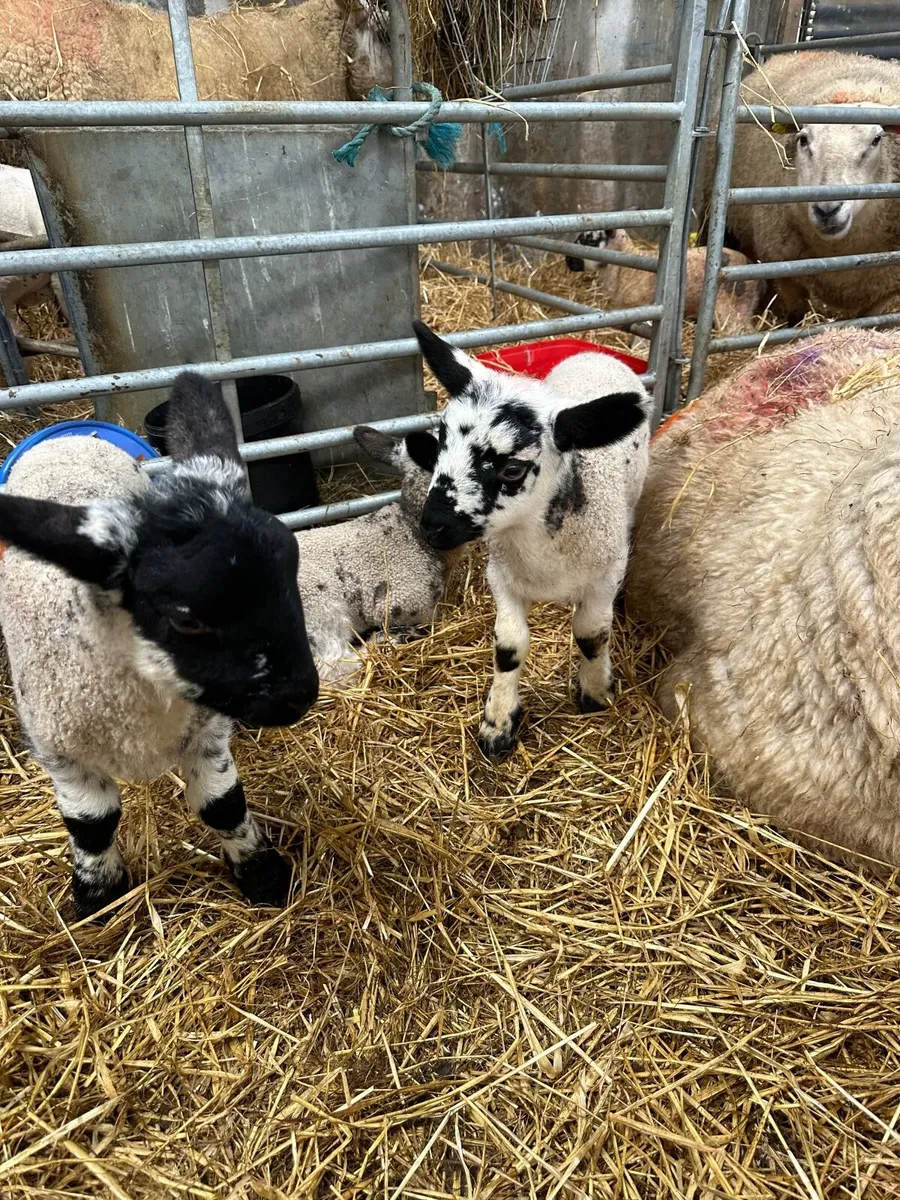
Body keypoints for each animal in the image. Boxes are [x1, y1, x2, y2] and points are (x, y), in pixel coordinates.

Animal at [0, 371, 319, 920]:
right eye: (186, 619)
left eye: (291, 571)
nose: (300, 694)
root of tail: (65, 436)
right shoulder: (61, 754)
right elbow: (92, 825)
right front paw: (97, 896)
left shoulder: (207, 733)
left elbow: (223, 805)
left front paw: (262, 873)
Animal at [406, 320, 650, 760]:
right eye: (441, 443)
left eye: (513, 470)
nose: (432, 525)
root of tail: (595, 353)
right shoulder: (502, 577)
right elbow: (509, 646)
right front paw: (498, 723)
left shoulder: (605, 575)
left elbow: (591, 633)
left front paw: (595, 694)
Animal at [718, 51, 900, 321]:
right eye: (803, 140)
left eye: (876, 139)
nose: (827, 210)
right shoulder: (783, 267)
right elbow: (795, 315)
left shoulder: (885, 287)